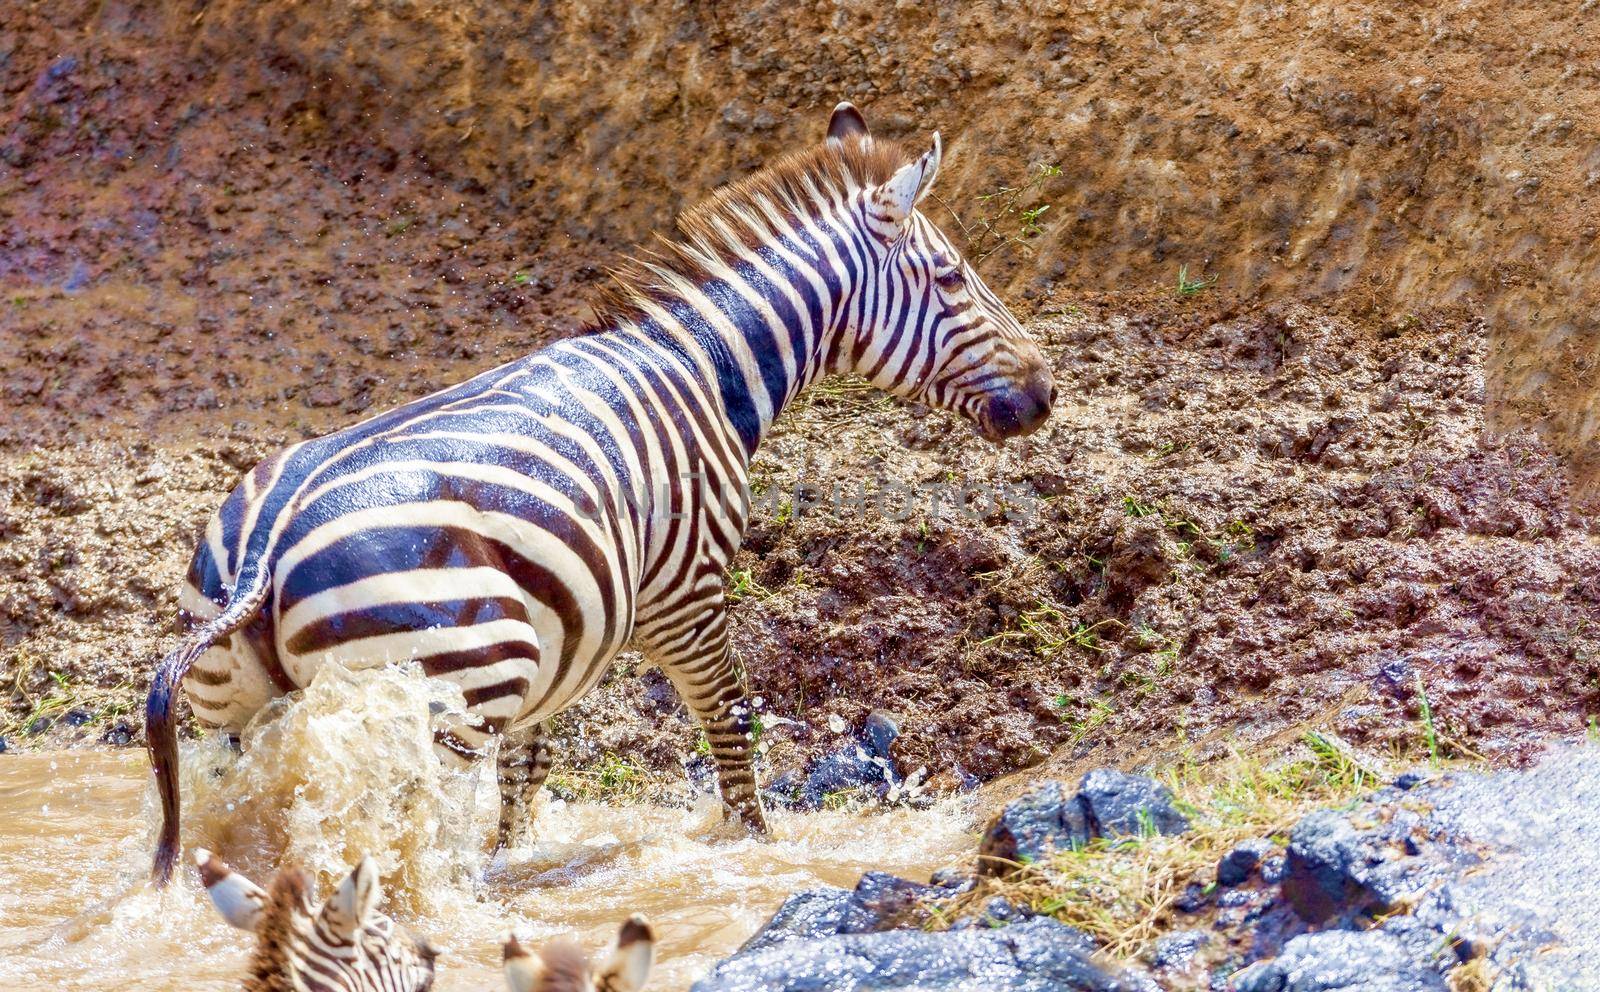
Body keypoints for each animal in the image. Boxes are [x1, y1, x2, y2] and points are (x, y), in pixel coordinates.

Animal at [147, 100, 1049, 883]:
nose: (1045, 393)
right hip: (449, 689)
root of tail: (266, 544)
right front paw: (755, 846)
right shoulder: (685, 593)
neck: (702, 367)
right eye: (953, 278)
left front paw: (513, 861)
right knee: (402, 832)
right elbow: (731, 721)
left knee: (262, 815)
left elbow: (528, 769)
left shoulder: (554, 633)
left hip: (240, 715)